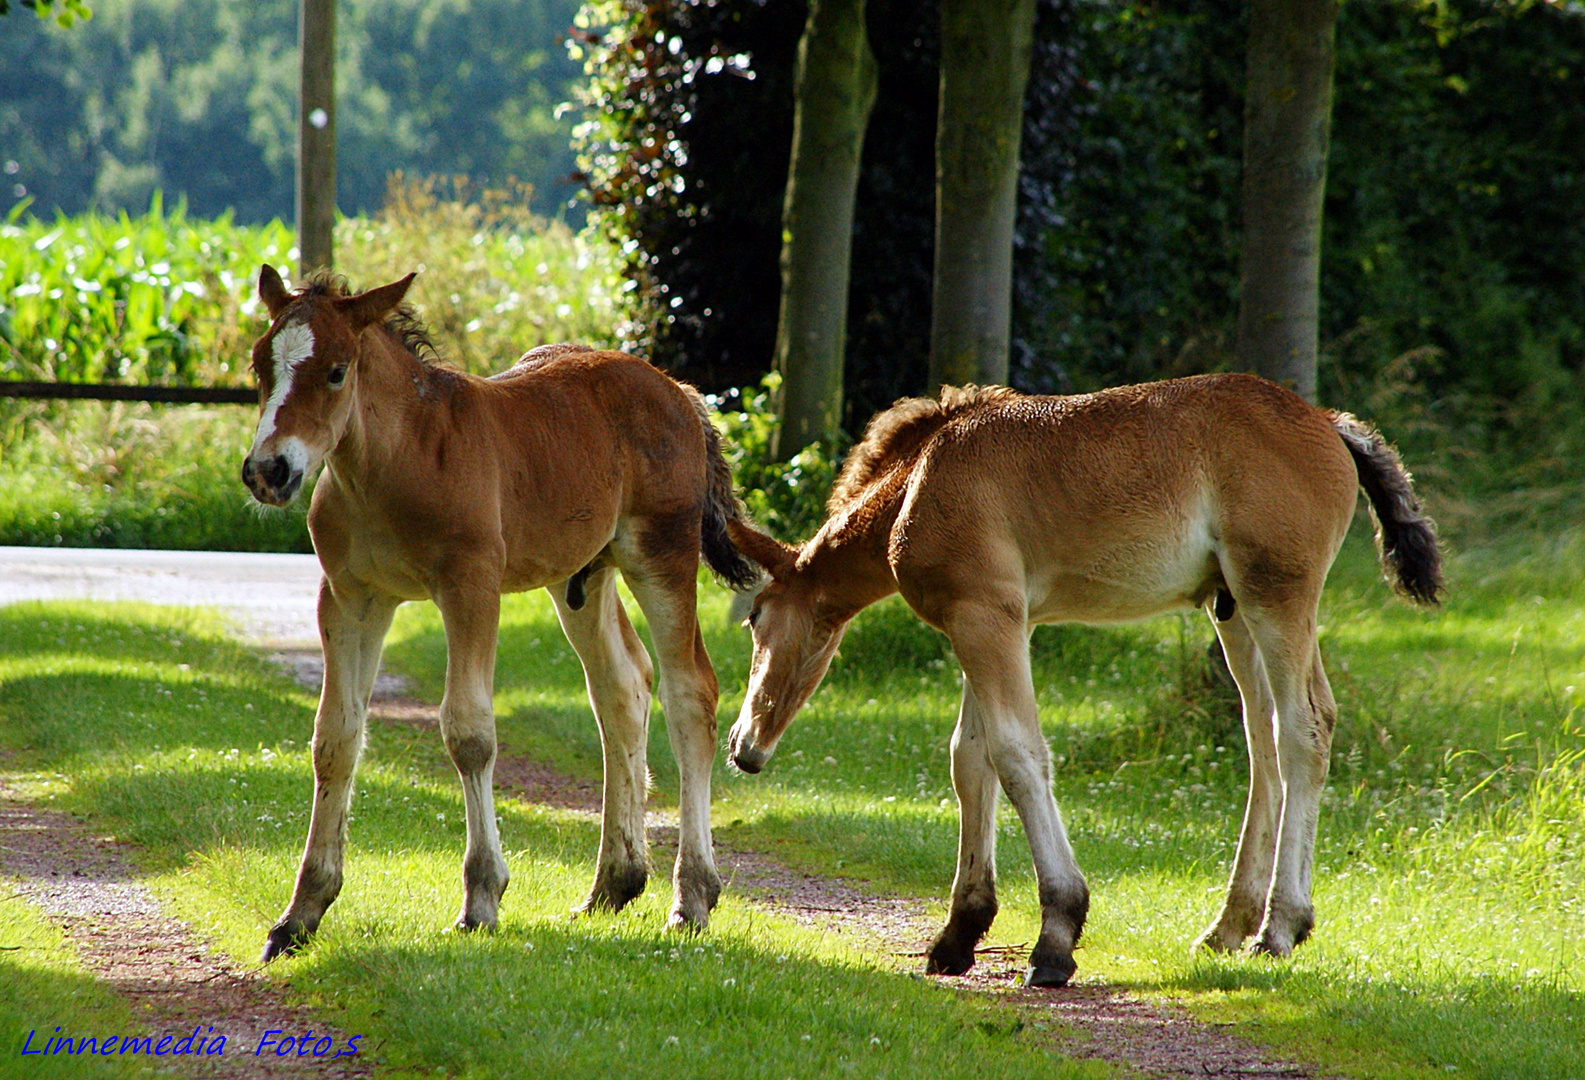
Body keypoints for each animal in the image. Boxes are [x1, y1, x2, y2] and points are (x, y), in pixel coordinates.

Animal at [725, 374, 1445, 989]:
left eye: (755, 617)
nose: (742, 746)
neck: (920, 482)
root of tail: (1327, 423)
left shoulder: (984, 617)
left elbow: (1016, 757)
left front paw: (1056, 935)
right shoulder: (992, 621)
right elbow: (970, 759)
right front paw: (959, 932)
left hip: (1277, 598)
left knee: (1302, 730)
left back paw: (1279, 928)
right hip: (1233, 612)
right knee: (1263, 739)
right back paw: (1228, 926)